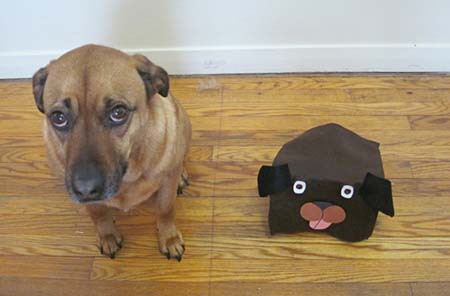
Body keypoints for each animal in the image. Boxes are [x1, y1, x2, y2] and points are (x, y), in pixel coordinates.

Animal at [30, 44, 192, 262]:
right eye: (58, 118)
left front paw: (170, 239)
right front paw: (107, 236)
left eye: (118, 113)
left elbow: (165, 210)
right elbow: (98, 214)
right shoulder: (92, 203)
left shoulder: (166, 184)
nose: (85, 189)